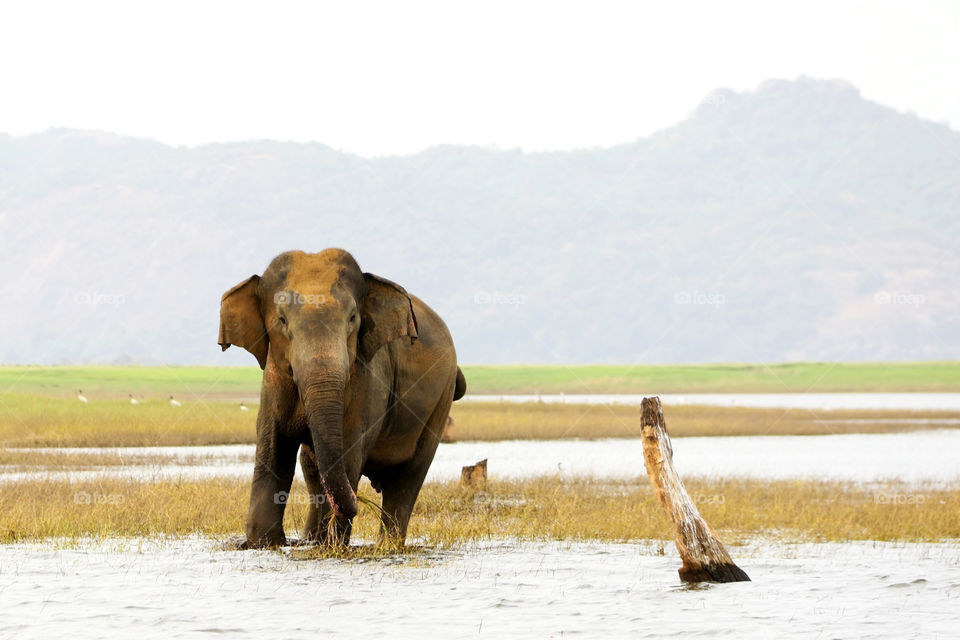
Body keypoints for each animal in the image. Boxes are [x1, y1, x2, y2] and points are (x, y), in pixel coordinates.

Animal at [218, 248, 466, 548]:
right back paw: (313, 538)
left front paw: (331, 545)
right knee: (312, 467)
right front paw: (261, 544)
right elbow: (273, 446)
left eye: (352, 319)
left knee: (408, 477)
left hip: (440, 402)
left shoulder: (368, 377)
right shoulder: (273, 378)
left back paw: (384, 544)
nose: (360, 505)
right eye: (282, 321)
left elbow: (349, 450)